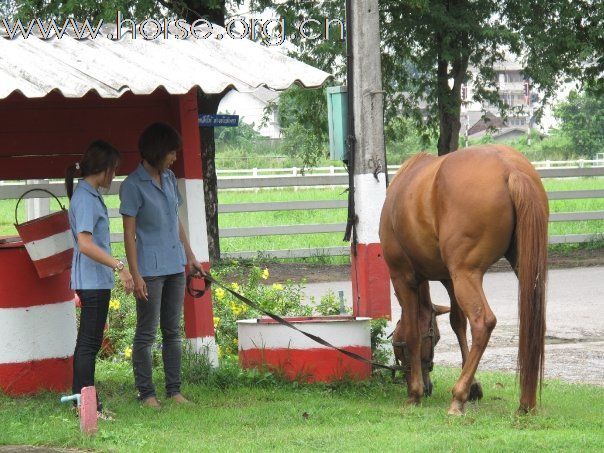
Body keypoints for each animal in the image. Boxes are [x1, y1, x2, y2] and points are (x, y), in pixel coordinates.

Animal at [380, 145, 548, 414]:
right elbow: (457, 323)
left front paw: (415, 393)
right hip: (519, 269)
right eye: (437, 338)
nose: (427, 387)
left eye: (398, 345)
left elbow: (414, 331)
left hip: (466, 275)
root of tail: (509, 168)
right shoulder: (449, 279)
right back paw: (526, 402)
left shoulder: (403, 277)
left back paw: (457, 398)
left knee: (482, 323)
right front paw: (474, 386)